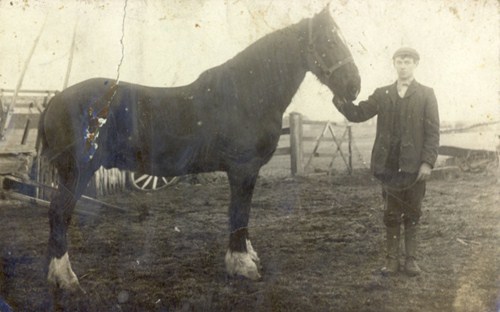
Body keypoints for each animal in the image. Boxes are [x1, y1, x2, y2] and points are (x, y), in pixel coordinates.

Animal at [39, 6, 360, 292]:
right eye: (330, 42)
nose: (354, 86)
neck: (245, 94)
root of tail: (55, 100)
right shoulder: (243, 169)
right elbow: (239, 213)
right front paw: (243, 265)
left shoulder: (245, 171)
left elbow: (242, 214)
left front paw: (245, 256)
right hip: (76, 172)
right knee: (59, 213)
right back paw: (65, 278)